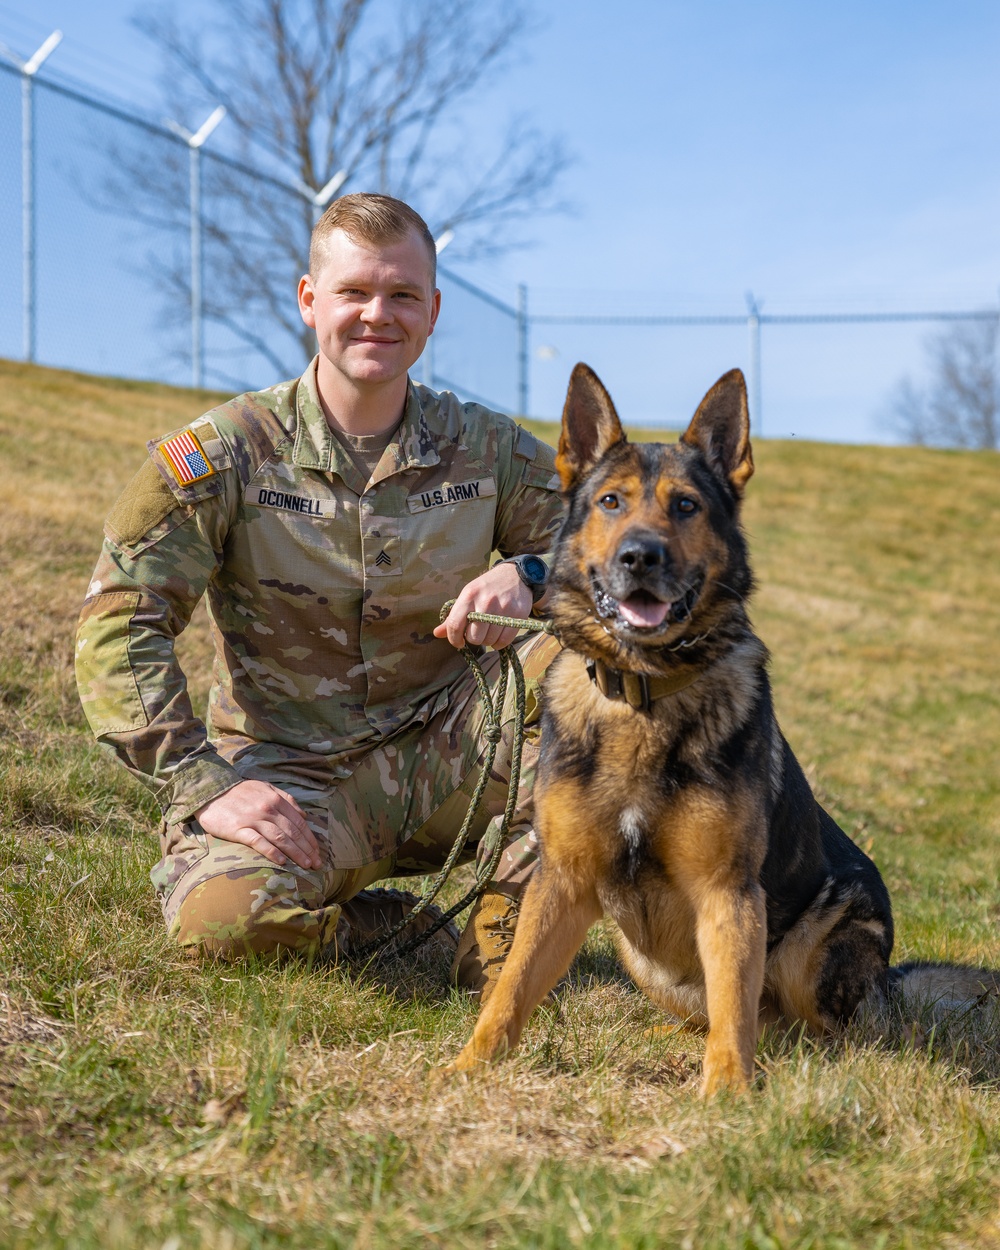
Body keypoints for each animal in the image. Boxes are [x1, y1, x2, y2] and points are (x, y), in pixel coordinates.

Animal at [447, 362, 1000, 1095]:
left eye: (685, 507)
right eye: (611, 503)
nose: (641, 557)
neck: (644, 696)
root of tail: (888, 985)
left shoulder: (728, 893)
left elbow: (733, 1005)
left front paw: (728, 1095)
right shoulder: (560, 884)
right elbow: (511, 989)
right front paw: (464, 1068)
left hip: (820, 942)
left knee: (818, 1034)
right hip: (640, 953)